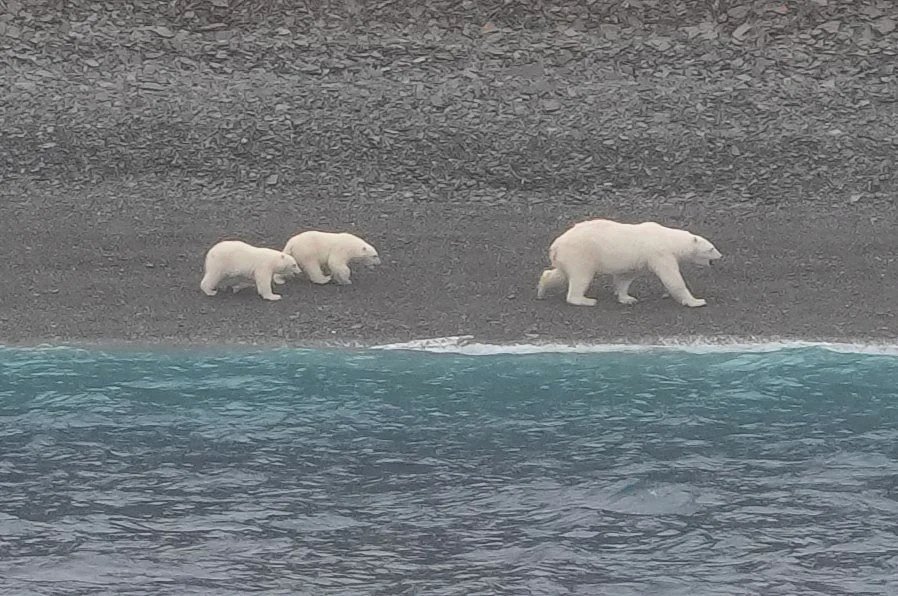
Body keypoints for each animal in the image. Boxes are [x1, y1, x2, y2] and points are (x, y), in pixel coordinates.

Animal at [536, 218, 722, 308]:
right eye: (711, 248)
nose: (720, 256)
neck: (669, 238)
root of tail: (556, 245)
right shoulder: (660, 254)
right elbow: (672, 279)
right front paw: (696, 301)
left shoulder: (640, 259)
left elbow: (625, 277)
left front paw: (627, 298)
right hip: (581, 253)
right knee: (581, 277)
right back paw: (585, 300)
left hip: (568, 256)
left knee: (560, 273)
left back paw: (542, 288)